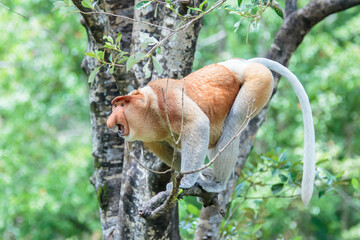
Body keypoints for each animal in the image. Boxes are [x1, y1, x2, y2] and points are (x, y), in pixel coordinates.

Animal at [107, 57, 316, 204]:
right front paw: (199, 176)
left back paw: (217, 184)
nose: (110, 120)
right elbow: (166, 150)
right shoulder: (152, 139)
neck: (150, 109)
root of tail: (241, 64)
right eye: (114, 105)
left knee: (233, 123)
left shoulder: (167, 98)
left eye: (122, 105)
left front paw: (186, 182)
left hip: (258, 81)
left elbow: (198, 124)